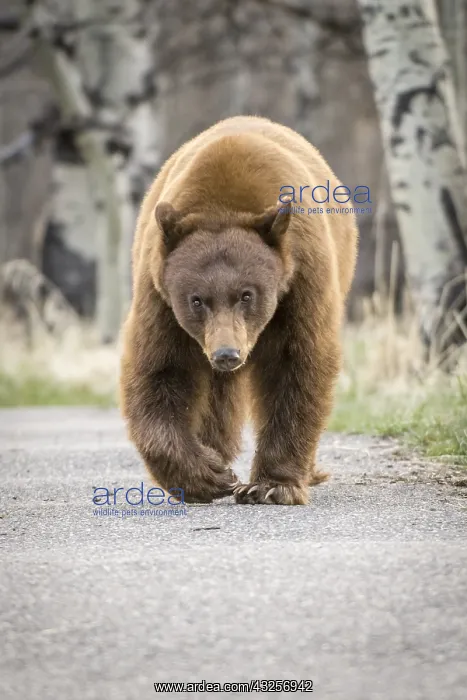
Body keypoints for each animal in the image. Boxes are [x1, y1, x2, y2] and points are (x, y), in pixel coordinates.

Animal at [120, 115, 358, 505]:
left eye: (247, 295)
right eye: (196, 299)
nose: (227, 353)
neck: (223, 204)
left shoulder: (300, 279)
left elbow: (296, 364)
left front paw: (271, 485)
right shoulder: (159, 295)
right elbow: (160, 369)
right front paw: (208, 474)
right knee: (216, 395)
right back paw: (215, 447)